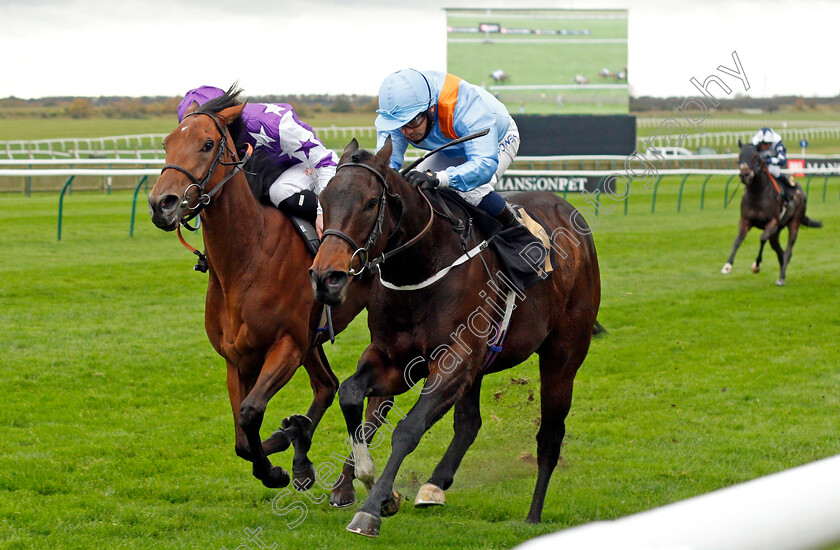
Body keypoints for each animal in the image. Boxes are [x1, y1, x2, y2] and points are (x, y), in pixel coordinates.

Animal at [147, 91, 378, 496]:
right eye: (166, 144)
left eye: (207, 144)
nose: (162, 204)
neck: (246, 259)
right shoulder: (238, 358)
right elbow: (242, 438)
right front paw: (290, 451)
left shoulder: (286, 345)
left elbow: (250, 413)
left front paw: (276, 468)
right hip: (311, 340)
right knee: (326, 385)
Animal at [310, 139, 604, 540]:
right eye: (323, 199)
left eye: (371, 202)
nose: (327, 277)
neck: (422, 267)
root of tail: (569, 212)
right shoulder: (394, 359)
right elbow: (352, 394)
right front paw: (375, 487)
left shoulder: (455, 358)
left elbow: (407, 429)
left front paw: (370, 509)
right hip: (480, 366)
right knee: (469, 424)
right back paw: (434, 485)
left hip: (563, 354)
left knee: (550, 434)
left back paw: (533, 515)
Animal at [720, 142, 824, 286]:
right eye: (740, 155)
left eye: (755, 156)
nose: (745, 174)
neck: (758, 195)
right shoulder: (745, 220)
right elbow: (737, 241)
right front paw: (727, 266)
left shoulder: (772, 223)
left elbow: (762, 238)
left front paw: (756, 265)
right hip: (776, 233)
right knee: (781, 252)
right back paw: (782, 274)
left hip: (794, 224)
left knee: (788, 251)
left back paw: (781, 278)